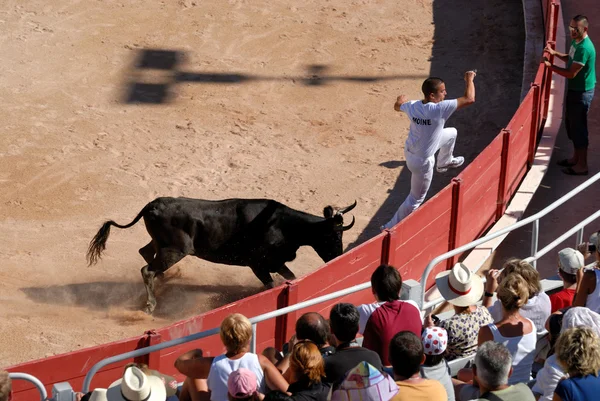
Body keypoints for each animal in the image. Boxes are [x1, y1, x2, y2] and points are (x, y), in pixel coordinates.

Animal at [86, 196, 354, 312]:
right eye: (334, 236)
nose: (337, 258)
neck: (283, 224)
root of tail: (152, 205)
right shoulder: (258, 264)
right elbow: (271, 285)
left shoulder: (275, 262)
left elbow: (290, 277)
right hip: (175, 250)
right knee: (147, 269)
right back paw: (151, 303)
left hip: (162, 245)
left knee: (145, 254)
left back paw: (165, 281)